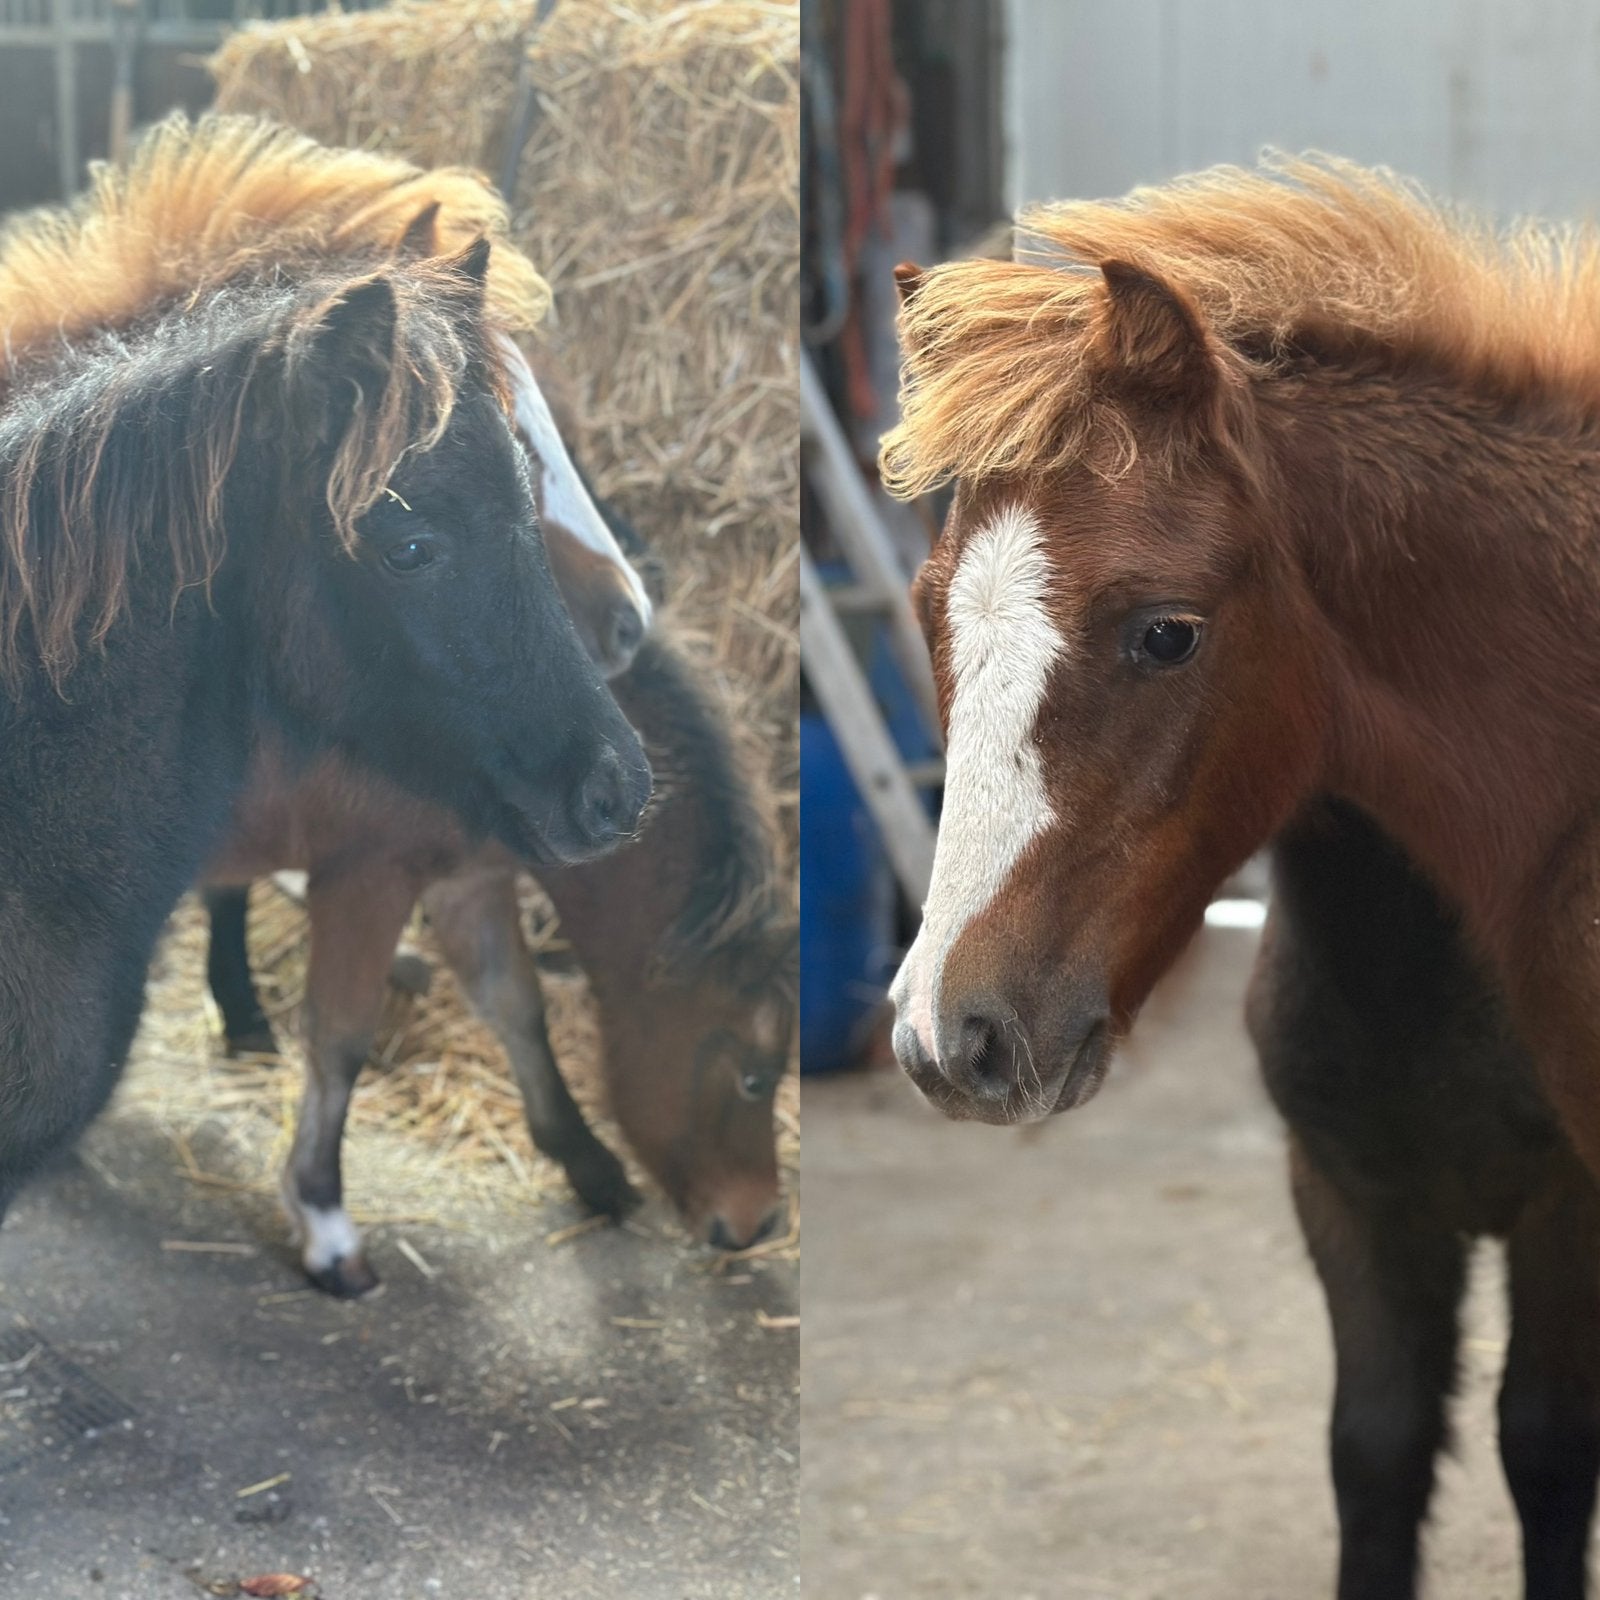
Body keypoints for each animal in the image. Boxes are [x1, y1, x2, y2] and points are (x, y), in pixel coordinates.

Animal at [202, 632, 795, 1295]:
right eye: (754, 1078)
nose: (758, 1222)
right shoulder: (369, 877)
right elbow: (339, 1043)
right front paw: (324, 1219)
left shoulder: (468, 879)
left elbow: (516, 1006)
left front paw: (587, 1162)